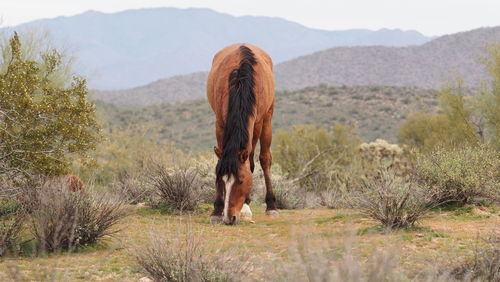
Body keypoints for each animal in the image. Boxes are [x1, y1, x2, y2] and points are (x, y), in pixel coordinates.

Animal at [206, 43, 278, 225]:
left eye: (241, 180)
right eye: (222, 179)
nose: (229, 218)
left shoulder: (256, 123)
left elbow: (251, 163)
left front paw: (245, 207)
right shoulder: (220, 123)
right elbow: (219, 162)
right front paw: (216, 210)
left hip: (267, 120)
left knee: (264, 159)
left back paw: (271, 206)